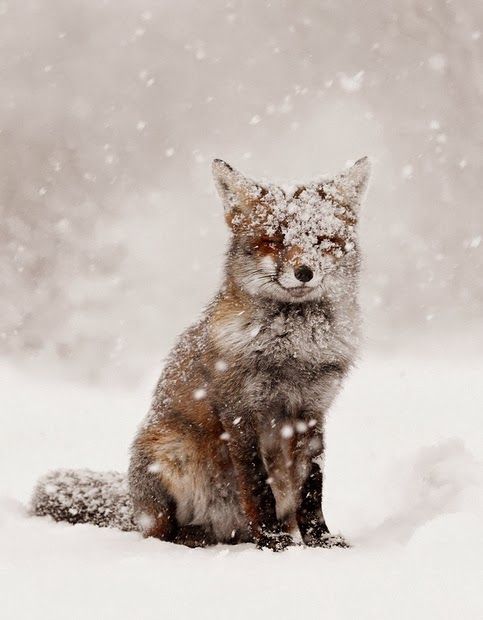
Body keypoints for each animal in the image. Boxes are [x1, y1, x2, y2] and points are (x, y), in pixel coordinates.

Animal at [32, 159, 372, 552]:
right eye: (274, 241)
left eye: (322, 241)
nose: (304, 272)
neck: (292, 352)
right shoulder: (240, 411)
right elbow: (257, 485)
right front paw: (272, 542)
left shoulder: (312, 412)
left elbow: (312, 487)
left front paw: (320, 540)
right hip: (170, 454)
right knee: (162, 532)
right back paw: (196, 539)